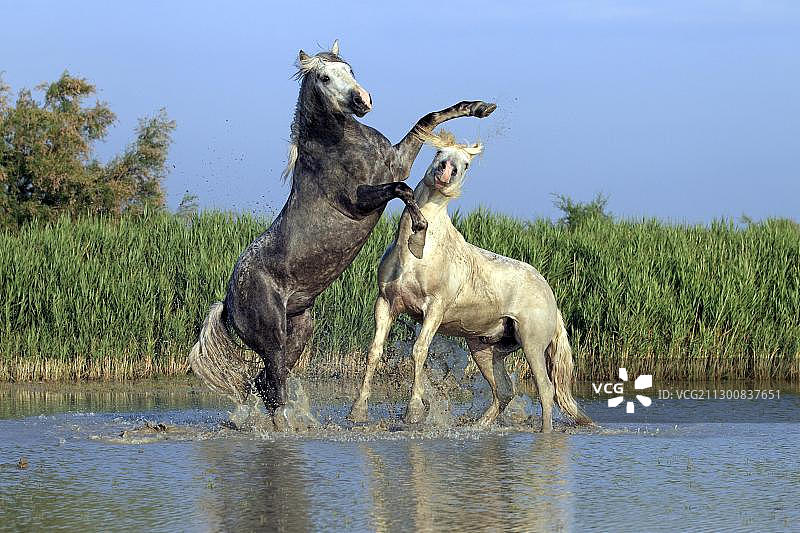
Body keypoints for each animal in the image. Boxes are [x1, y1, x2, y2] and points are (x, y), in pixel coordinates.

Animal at [189, 41, 496, 427]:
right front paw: (418, 229)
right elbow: (402, 189)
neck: (340, 143)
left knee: (262, 383)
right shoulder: (358, 199)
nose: (362, 100)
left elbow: (426, 120)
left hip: (300, 330)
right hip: (272, 338)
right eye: (324, 77)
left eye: (350, 69)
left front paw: (480, 107)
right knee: (273, 387)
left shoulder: (397, 160)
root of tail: (227, 303)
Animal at [348, 130, 592, 432]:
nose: (446, 171)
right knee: (504, 391)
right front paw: (357, 412)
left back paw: (543, 433)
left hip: (532, 344)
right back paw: (476, 427)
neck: (417, 252)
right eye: (438, 153)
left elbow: (419, 351)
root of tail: (551, 298)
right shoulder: (386, 303)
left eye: (466, 165)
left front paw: (413, 413)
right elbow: (374, 352)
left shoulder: (435, 309)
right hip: (485, 349)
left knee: (546, 390)